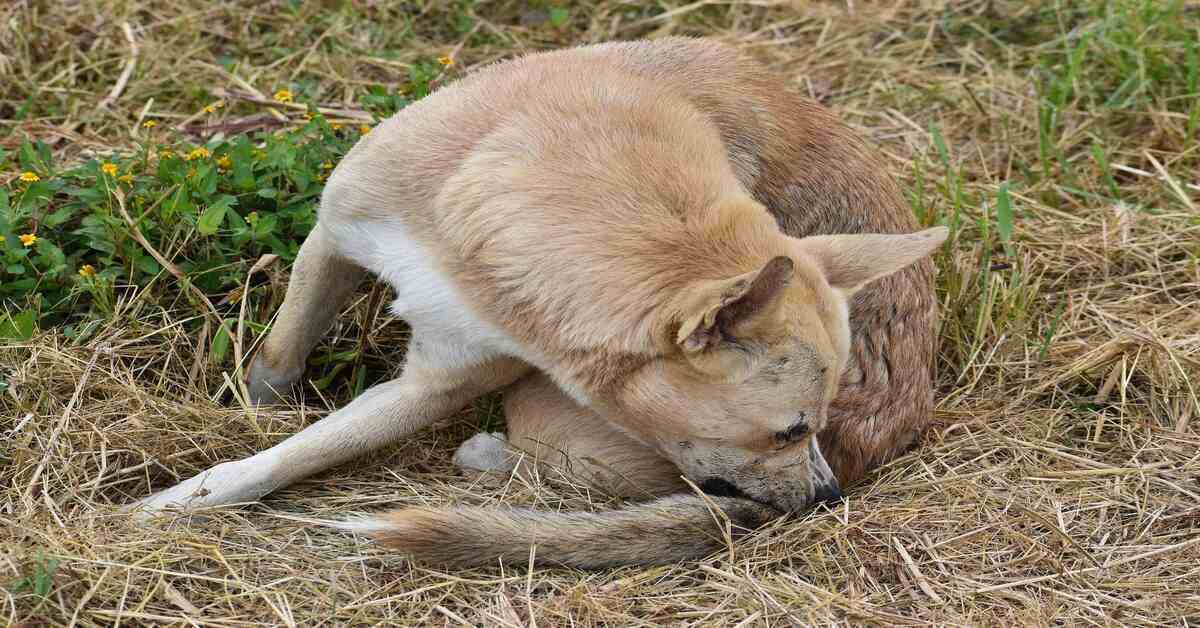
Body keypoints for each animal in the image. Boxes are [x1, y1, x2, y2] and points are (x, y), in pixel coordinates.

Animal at [131, 38, 950, 569]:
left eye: (810, 427)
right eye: (790, 431)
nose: (828, 499)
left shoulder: (436, 385)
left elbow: (298, 454)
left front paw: (187, 498)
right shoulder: (334, 237)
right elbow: (279, 359)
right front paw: (247, 416)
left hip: (539, 411)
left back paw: (488, 458)